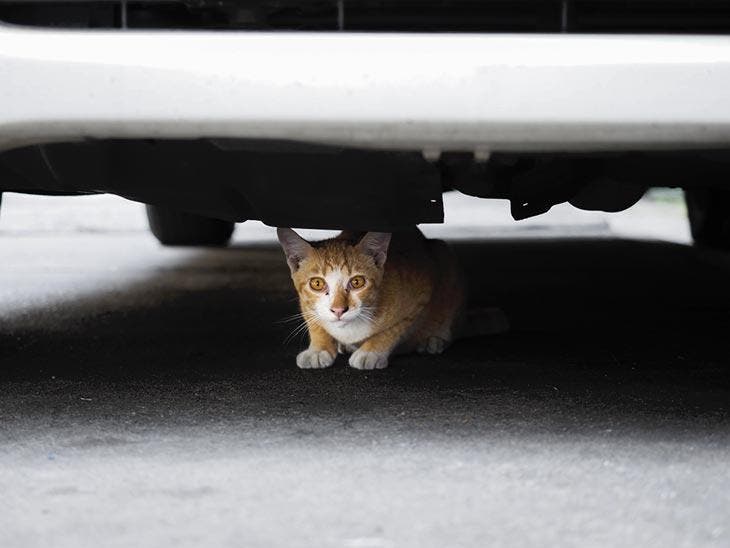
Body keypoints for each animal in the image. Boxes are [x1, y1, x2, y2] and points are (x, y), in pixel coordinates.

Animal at [276, 225, 470, 370]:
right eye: (317, 283)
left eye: (357, 282)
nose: (338, 310)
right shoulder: (305, 303)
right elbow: (313, 319)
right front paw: (319, 348)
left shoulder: (421, 293)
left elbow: (393, 329)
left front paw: (371, 351)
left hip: (444, 254)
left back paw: (433, 339)